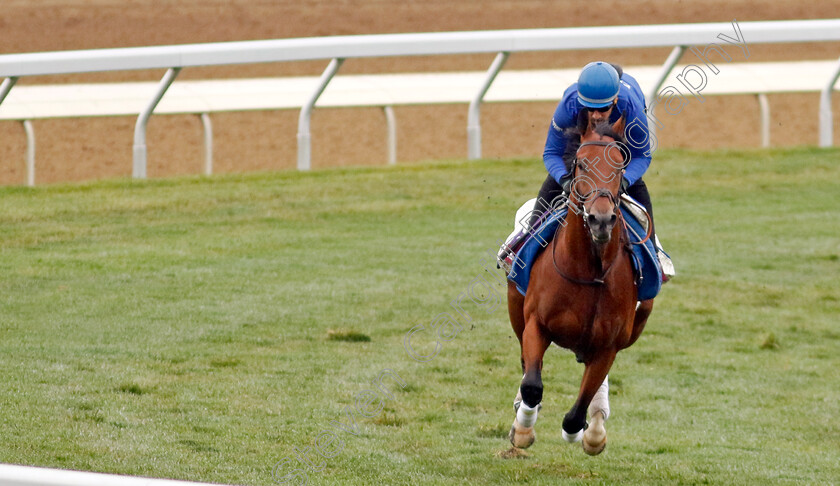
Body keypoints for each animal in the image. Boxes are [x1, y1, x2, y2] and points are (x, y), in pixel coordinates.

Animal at [506, 114, 656, 456]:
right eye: (582, 163)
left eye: (620, 165)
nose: (601, 219)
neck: (590, 271)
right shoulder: (536, 324)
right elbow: (532, 385)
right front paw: (523, 429)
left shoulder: (609, 344)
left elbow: (578, 410)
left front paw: (585, 433)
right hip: (516, 311)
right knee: (525, 366)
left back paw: (597, 424)